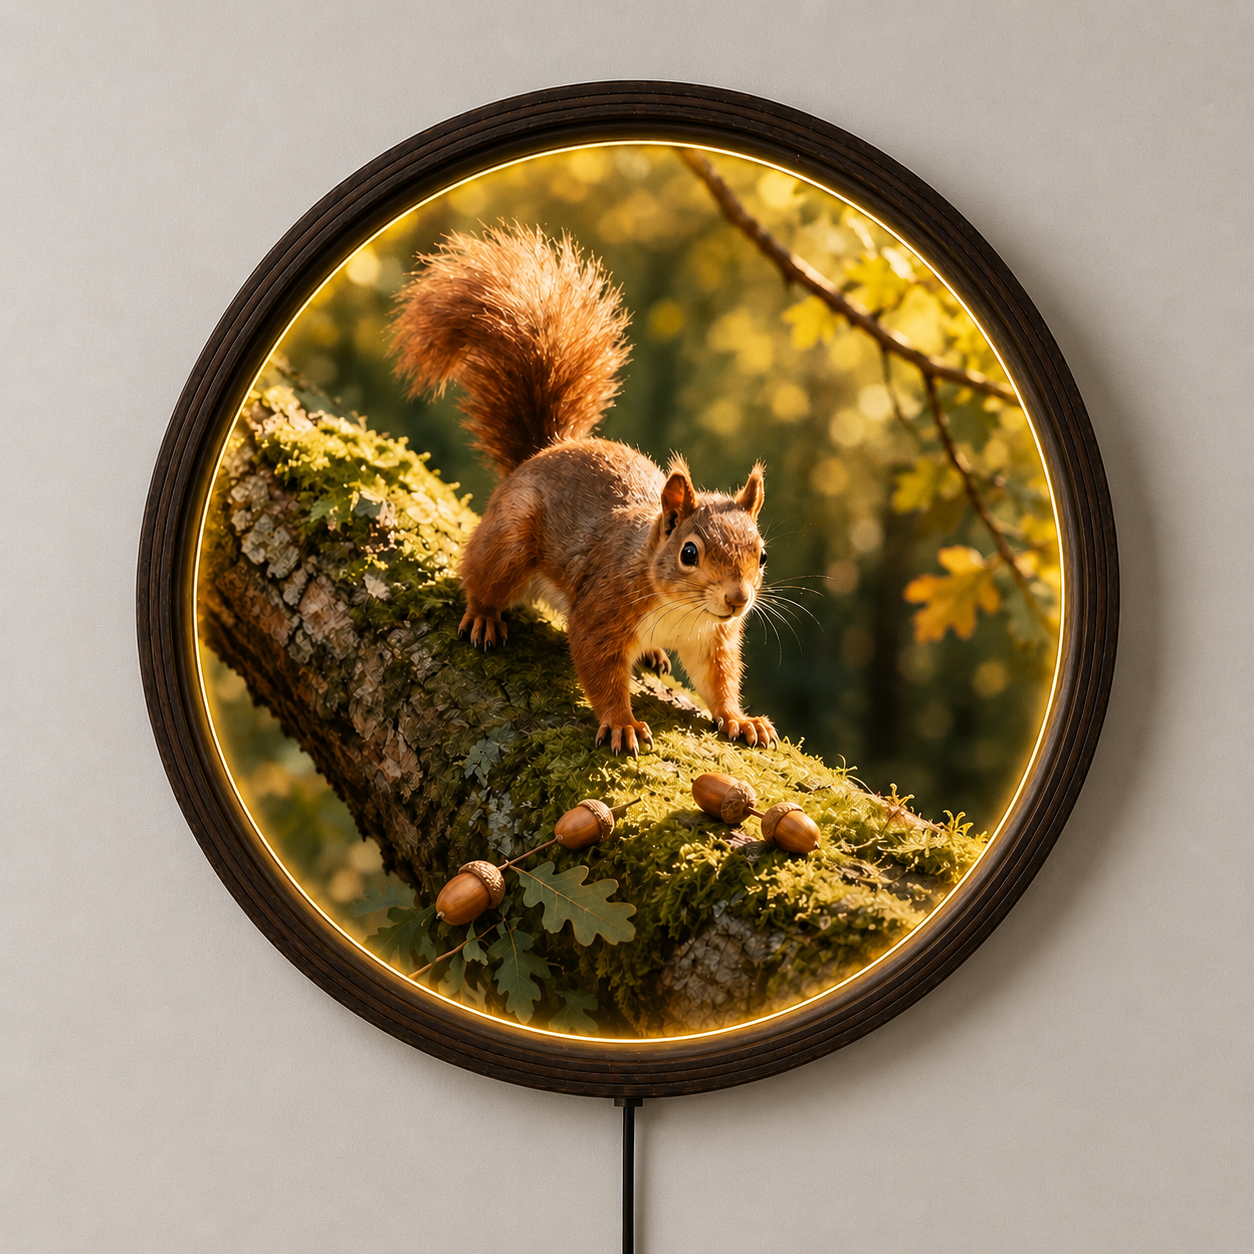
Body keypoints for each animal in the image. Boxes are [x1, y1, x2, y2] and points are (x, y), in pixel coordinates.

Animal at [390, 224, 777, 755]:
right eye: (689, 553)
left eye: (761, 555)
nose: (738, 599)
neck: (678, 606)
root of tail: (542, 452)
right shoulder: (602, 609)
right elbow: (598, 669)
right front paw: (622, 724)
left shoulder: (711, 638)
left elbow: (718, 682)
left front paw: (740, 719)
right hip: (511, 538)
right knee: (480, 575)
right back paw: (484, 615)